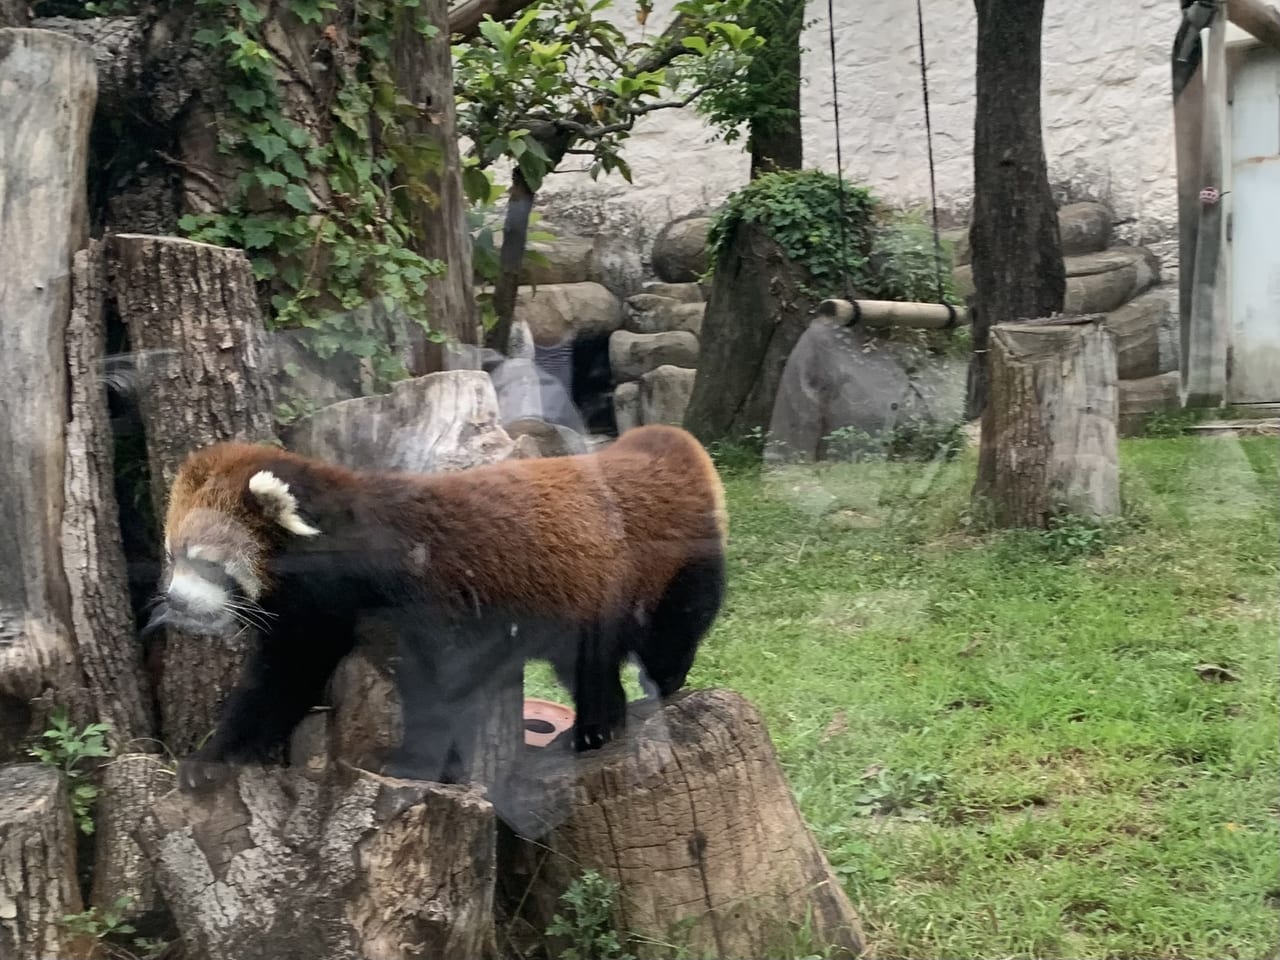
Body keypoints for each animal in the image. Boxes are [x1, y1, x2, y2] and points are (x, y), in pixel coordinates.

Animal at [145, 424, 727, 793]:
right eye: (175, 557)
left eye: (208, 564)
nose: (175, 599)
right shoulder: (313, 619)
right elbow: (276, 685)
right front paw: (213, 760)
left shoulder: (426, 602)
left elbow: (439, 691)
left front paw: (413, 765)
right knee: (590, 666)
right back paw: (597, 726)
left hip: (667, 575)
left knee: (669, 637)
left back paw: (658, 692)